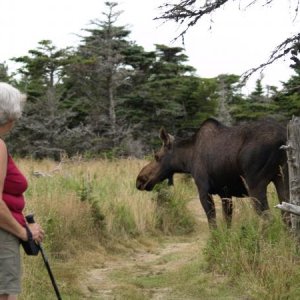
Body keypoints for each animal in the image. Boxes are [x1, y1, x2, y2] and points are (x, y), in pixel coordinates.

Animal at [137, 118, 290, 229]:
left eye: (157, 156)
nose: (140, 180)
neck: (187, 160)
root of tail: (283, 137)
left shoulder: (204, 190)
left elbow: (213, 224)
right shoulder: (225, 193)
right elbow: (227, 224)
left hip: (255, 184)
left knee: (269, 219)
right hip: (282, 179)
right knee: (287, 216)